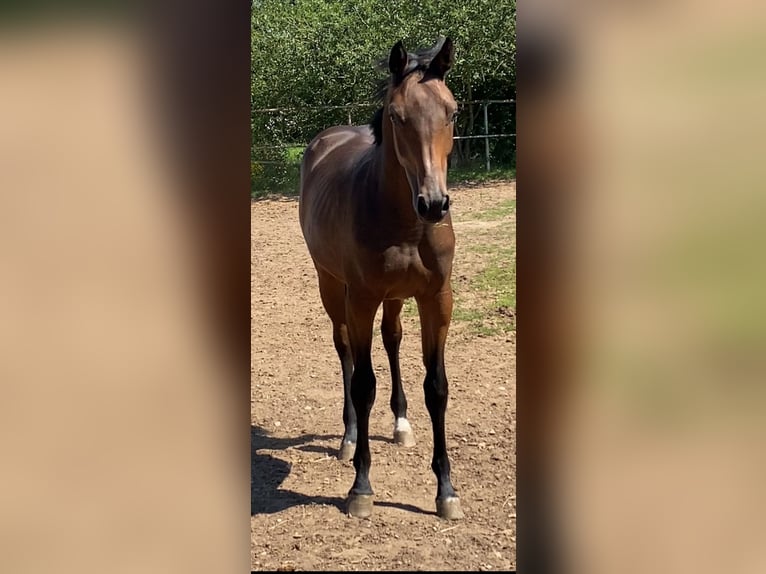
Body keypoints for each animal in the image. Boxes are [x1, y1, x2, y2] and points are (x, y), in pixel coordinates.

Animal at [296, 36, 460, 520]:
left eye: (452, 112)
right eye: (396, 115)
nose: (433, 203)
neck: (406, 223)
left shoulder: (436, 298)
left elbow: (436, 387)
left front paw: (446, 491)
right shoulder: (362, 298)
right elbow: (364, 384)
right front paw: (361, 487)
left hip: (395, 297)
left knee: (392, 339)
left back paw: (401, 424)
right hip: (332, 287)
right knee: (345, 349)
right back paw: (350, 438)